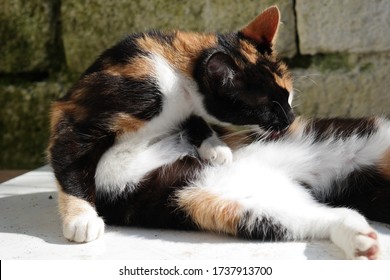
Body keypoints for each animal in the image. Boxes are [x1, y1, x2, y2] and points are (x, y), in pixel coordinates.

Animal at [48, 6, 292, 243]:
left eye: (288, 96)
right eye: (268, 108)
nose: (290, 119)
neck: (176, 79)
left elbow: (195, 117)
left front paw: (214, 146)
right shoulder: (125, 95)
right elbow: (71, 150)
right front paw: (81, 217)